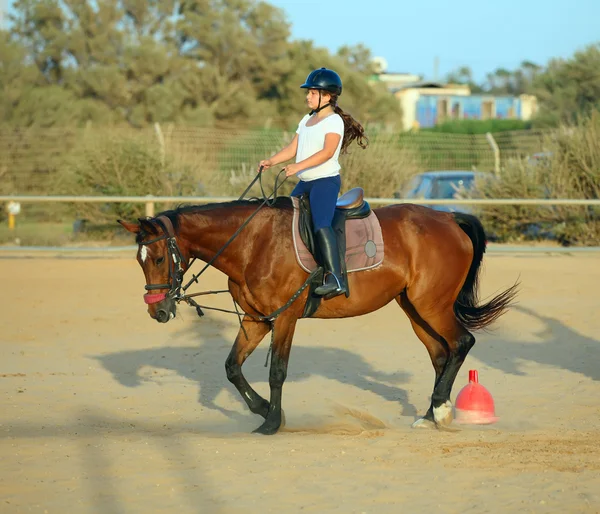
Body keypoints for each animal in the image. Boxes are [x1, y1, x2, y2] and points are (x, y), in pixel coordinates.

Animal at [118, 195, 516, 432]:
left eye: (158, 258)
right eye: (139, 261)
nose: (159, 311)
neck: (252, 243)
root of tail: (447, 217)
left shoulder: (285, 318)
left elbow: (277, 372)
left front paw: (271, 422)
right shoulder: (256, 320)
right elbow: (232, 367)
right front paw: (262, 409)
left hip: (432, 305)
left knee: (461, 343)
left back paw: (442, 409)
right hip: (415, 309)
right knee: (440, 355)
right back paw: (430, 414)